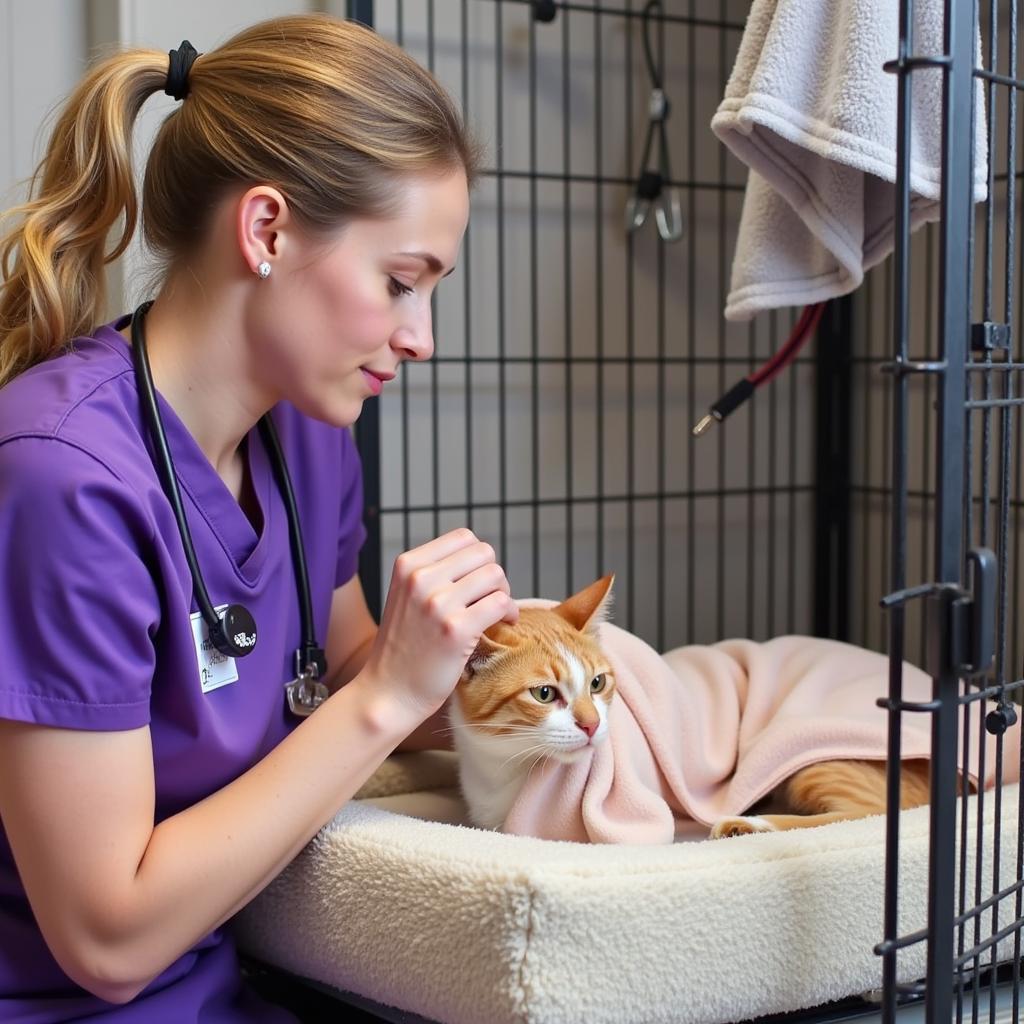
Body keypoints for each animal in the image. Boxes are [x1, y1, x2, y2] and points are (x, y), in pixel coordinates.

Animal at [452, 577, 933, 839]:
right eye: (544, 694)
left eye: (597, 683)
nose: (591, 725)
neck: (502, 770)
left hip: (815, 758)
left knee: (876, 812)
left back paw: (748, 826)